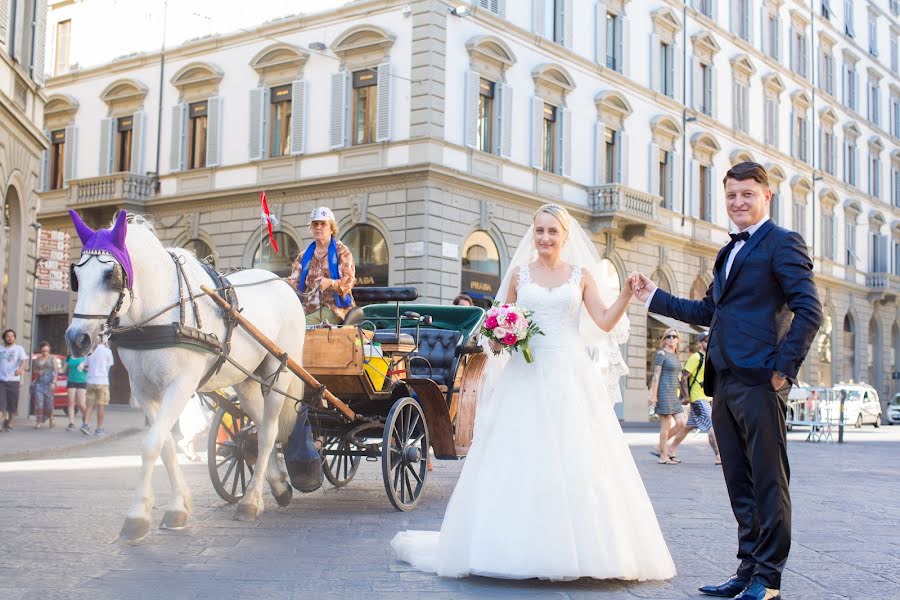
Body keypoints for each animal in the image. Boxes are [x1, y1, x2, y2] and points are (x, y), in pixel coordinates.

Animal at [65, 212, 308, 544]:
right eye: (76, 275)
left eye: (109, 276)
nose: (77, 338)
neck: (158, 313)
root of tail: (283, 285)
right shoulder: (144, 391)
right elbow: (167, 446)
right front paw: (178, 507)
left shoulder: (180, 386)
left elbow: (151, 444)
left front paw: (137, 516)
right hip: (246, 379)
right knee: (258, 430)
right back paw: (278, 484)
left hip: (278, 371)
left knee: (270, 432)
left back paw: (251, 501)